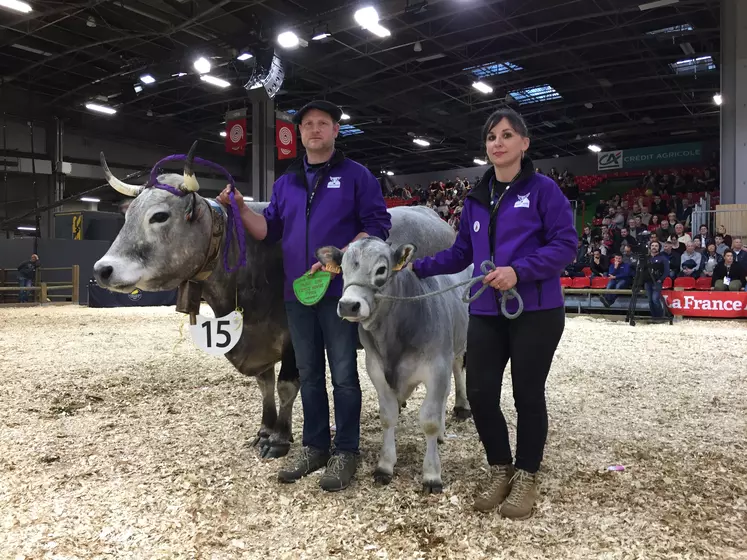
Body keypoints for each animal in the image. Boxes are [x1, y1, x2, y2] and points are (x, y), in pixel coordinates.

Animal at [93, 153, 468, 464]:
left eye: (159, 216)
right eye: (127, 215)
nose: (102, 269)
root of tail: (432, 214)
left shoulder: (292, 336)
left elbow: (288, 384)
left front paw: (280, 438)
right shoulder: (257, 336)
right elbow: (264, 383)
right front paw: (264, 428)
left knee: (457, 362)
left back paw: (461, 407)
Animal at [318, 207, 470, 494]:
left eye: (381, 269)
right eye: (342, 269)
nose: (348, 305)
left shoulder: (436, 367)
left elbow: (429, 420)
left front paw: (432, 474)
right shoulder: (376, 368)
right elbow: (388, 417)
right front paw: (385, 466)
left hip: (457, 346)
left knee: (457, 374)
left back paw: (460, 409)